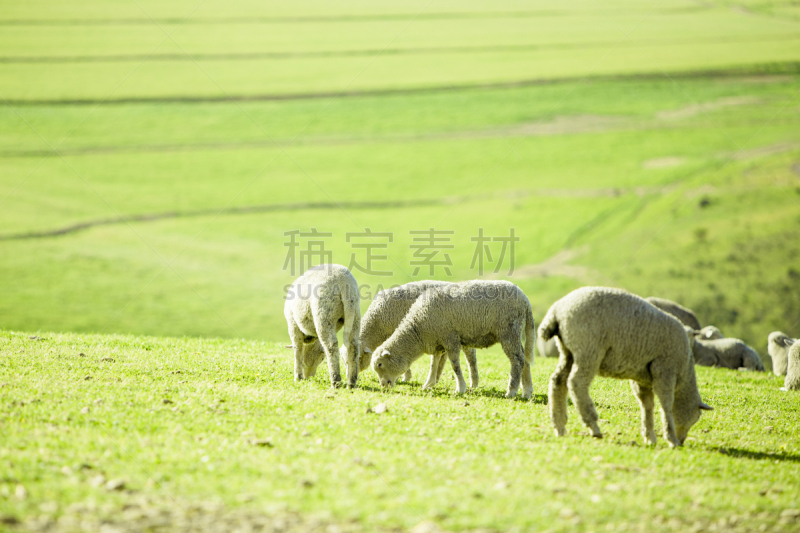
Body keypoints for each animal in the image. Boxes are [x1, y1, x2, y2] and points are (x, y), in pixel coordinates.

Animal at [372, 280, 536, 396]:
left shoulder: (450, 338)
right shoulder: (437, 342)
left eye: (380, 364)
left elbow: (455, 365)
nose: (383, 385)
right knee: (524, 358)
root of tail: (525, 300)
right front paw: (428, 384)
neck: (417, 330)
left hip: (508, 330)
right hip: (515, 332)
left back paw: (511, 391)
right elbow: (434, 364)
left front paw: (460, 388)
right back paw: (527, 391)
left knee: (517, 360)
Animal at [540, 284, 708, 446]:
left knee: (558, 381)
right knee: (576, 383)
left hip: (567, 351)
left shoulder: (642, 379)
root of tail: (556, 311)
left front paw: (650, 437)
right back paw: (593, 426)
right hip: (588, 349)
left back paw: (559, 425)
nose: (682, 441)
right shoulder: (665, 370)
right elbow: (665, 405)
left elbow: (647, 405)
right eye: (696, 417)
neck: (685, 371)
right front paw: (671, 439)